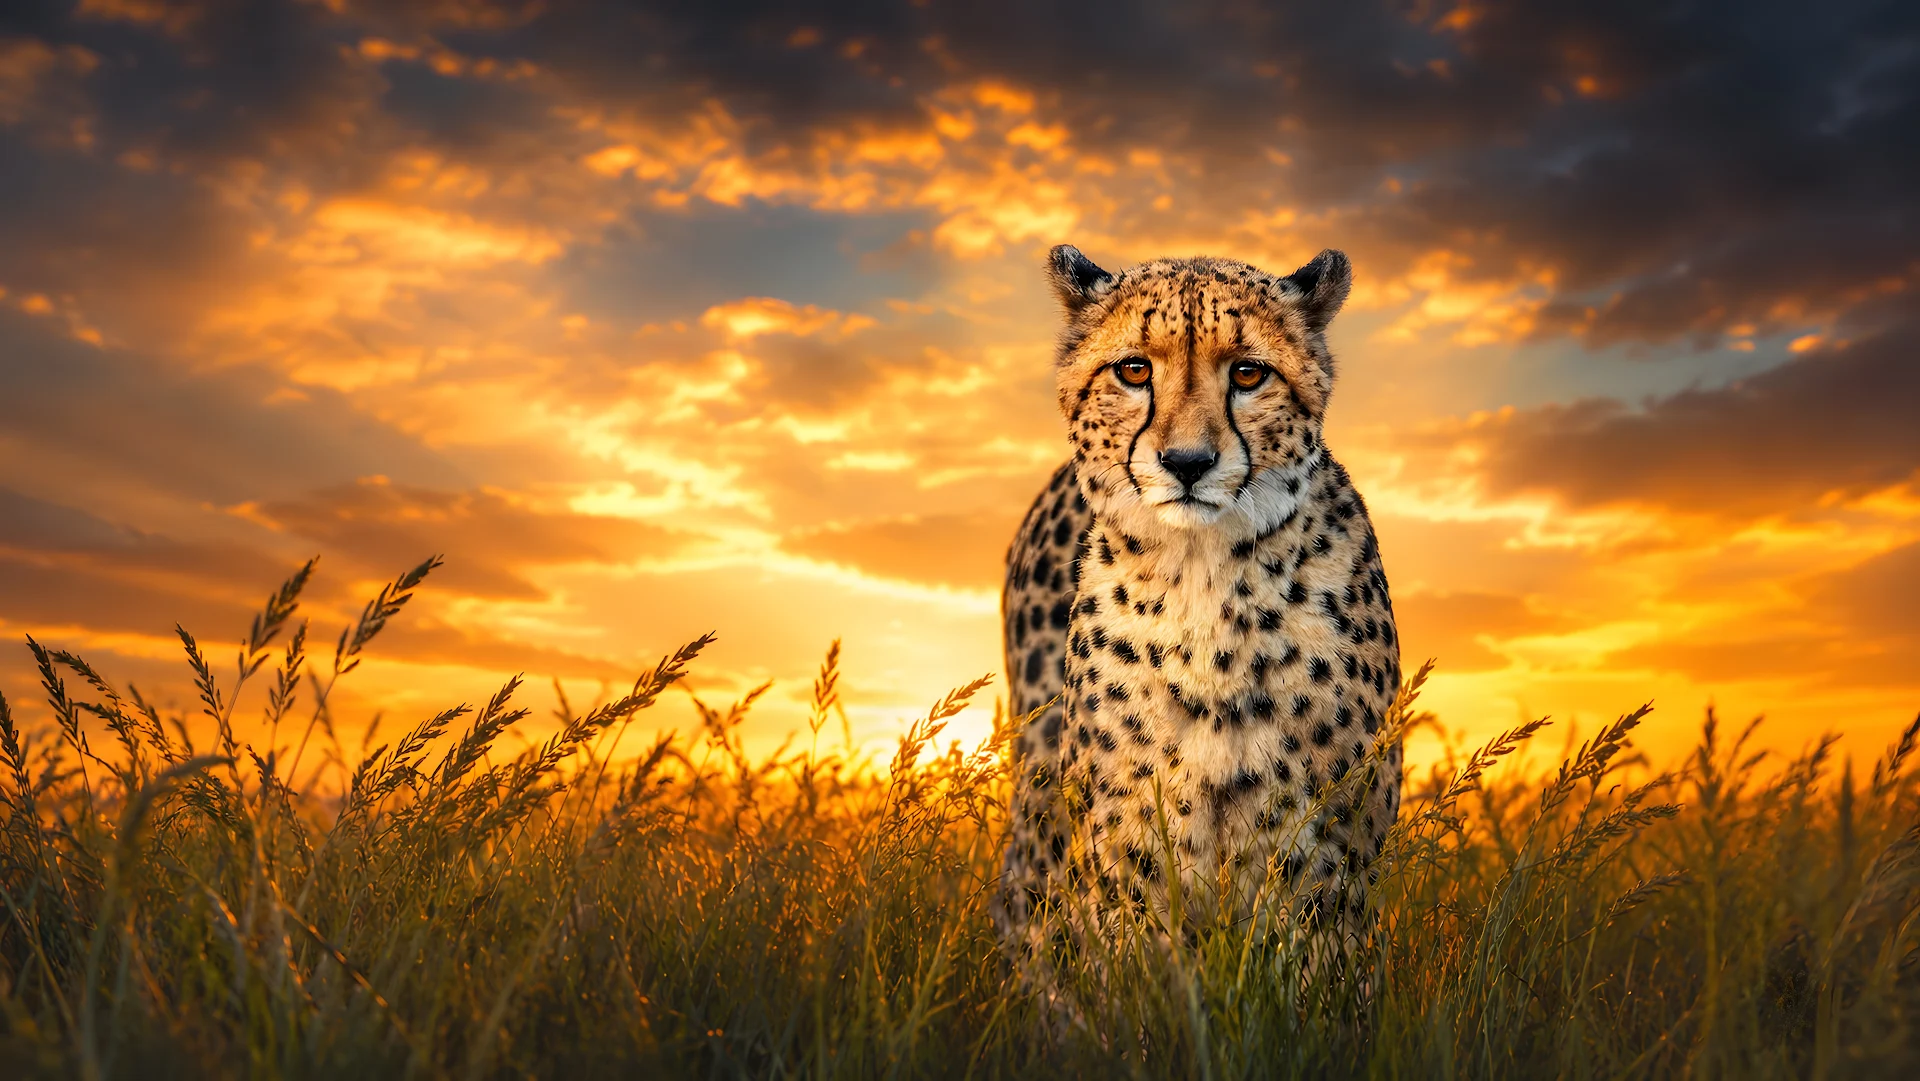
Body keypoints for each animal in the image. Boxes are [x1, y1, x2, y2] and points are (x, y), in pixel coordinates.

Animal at [993, 243, 1403, 990]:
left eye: (1247, 372)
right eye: (1133, 370)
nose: (1187, 462)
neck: (1203, 579)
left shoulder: (1328, 850)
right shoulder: (1127, 844)